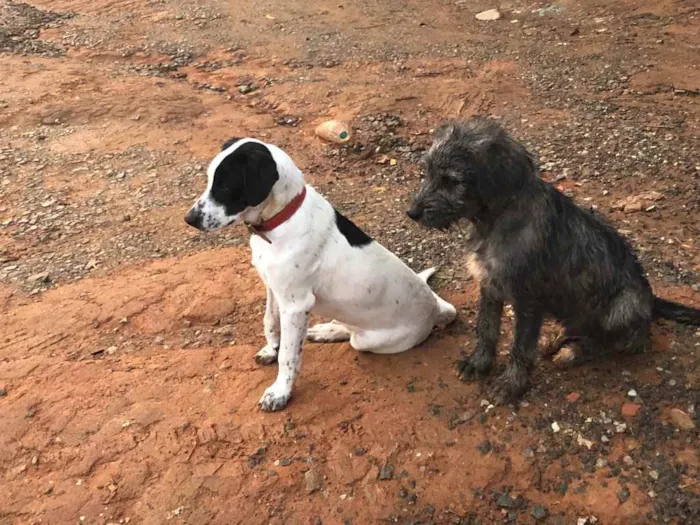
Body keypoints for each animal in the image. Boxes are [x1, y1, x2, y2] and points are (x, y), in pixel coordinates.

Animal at [187, 137, 460, 412]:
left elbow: (288, 355)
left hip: (370, 340)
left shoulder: (295, 305)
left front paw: (280, 392)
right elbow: (270, 321)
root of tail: (435, 308)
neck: (281, 219)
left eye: (224, 185)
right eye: (209, 180)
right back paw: (325, 330)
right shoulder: (274, 289)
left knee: (353, 336)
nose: (189, 219)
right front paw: (271, 349)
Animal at [408, 118, 700, 404]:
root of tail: (651, 301)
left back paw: (574, 351)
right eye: (428, 172)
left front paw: (511, 385)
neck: (497, 219)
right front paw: (478, 364)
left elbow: (520, 347)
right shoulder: (490, 287)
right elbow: (486, 328)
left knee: (616, 342)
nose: (412, 213)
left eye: (451, 181)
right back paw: (558, 336)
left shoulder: (528, 301)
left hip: (625, 304)